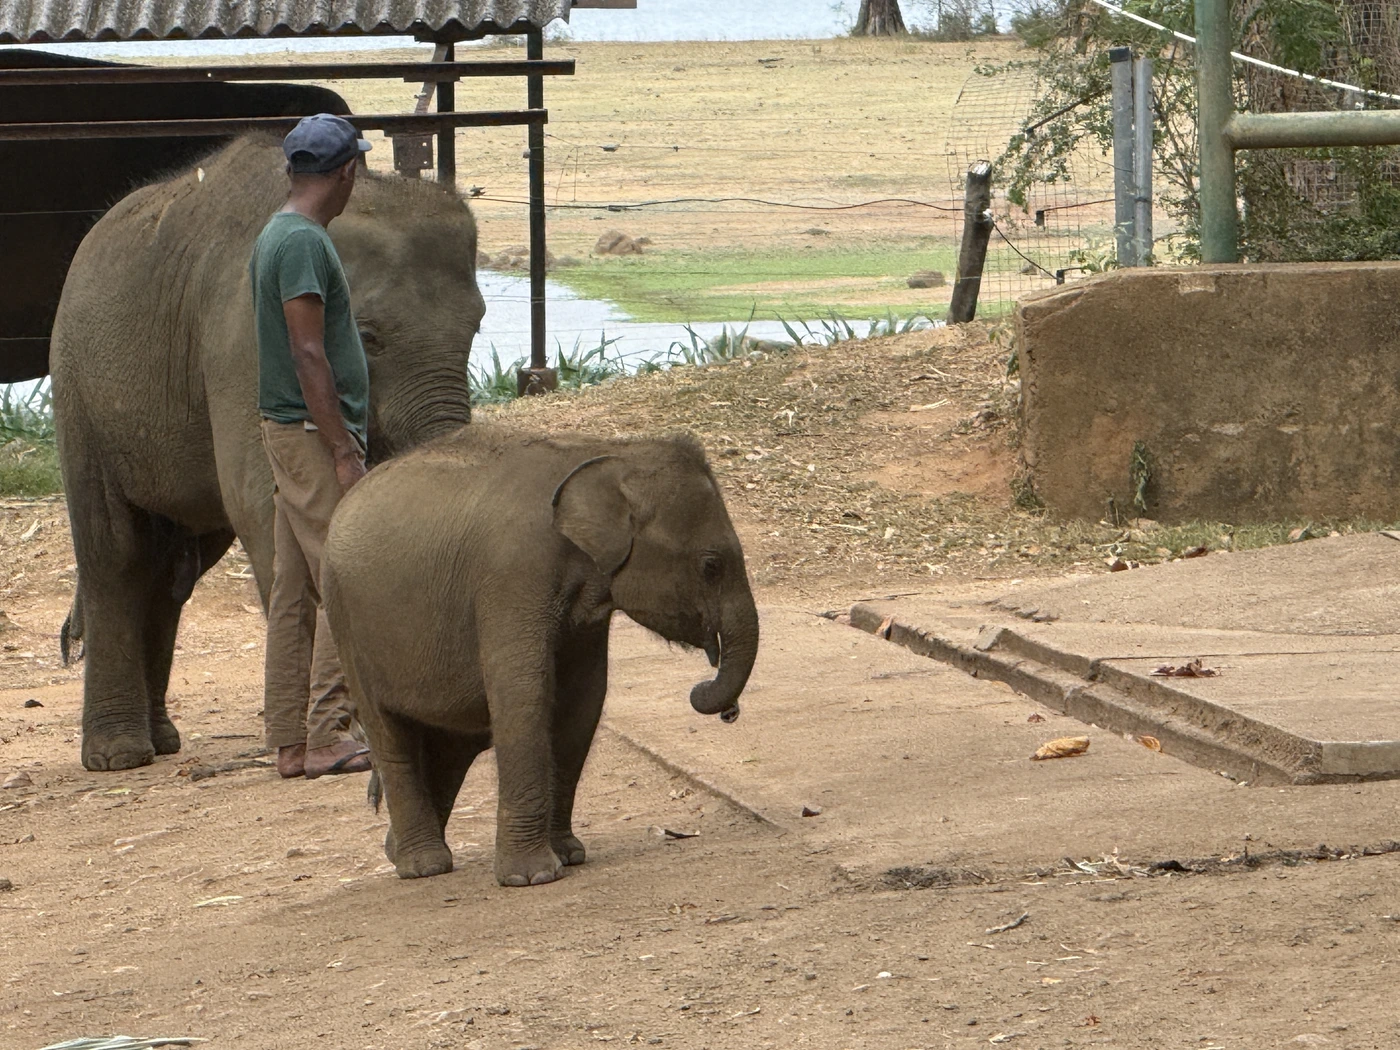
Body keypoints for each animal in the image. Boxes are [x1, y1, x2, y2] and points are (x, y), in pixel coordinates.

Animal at [50, 134, 485, 772]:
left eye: (477, 327)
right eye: (369, 335)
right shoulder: (240, 335)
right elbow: (260, 503)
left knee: (172, 570)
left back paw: (163, 741)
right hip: (78, 391)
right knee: (116, 553)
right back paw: (119, 756)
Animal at [320, 426, 759, 887]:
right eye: (711, 566)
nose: (722, 705)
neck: (612, 453)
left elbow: (581, 703)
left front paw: (569, 855)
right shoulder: (512, 576)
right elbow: (524, 694)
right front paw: (531, 877)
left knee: (452, 744)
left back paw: (395, 850)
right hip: (344, 622)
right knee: (391, 735)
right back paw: (423, 867)